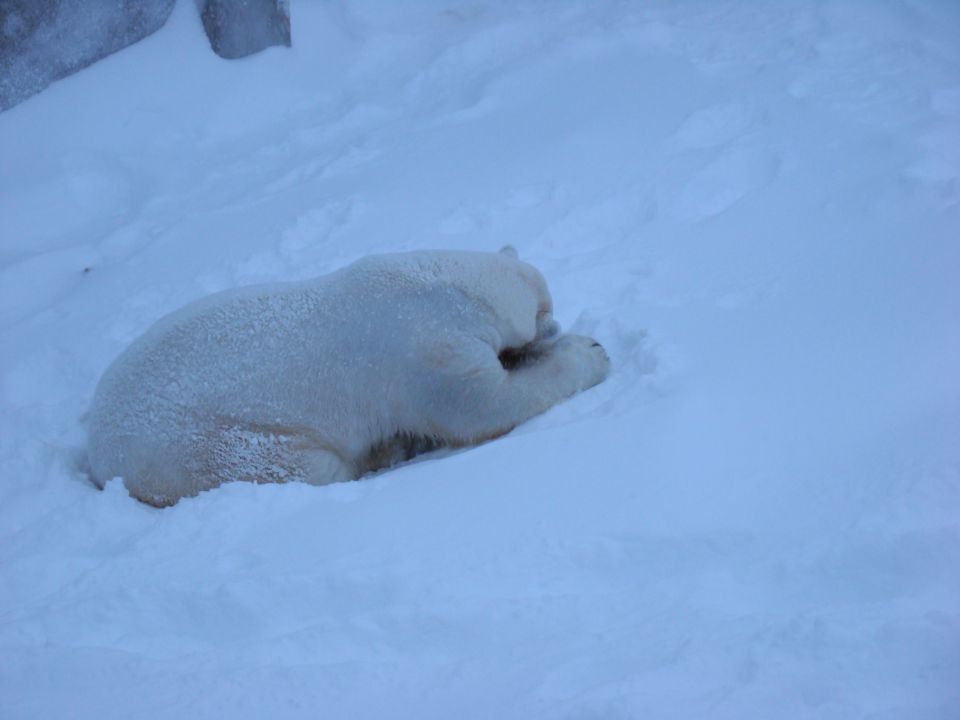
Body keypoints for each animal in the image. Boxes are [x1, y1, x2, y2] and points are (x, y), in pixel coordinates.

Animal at [88, 248, 608, 506]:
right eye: (546, 309)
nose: (555, 323)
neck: (442, 282)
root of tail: (95, 450)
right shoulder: (424, 349)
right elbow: (481, 405)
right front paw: (591, 352)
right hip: (199, 447)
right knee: (302, 468)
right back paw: (383, 452)